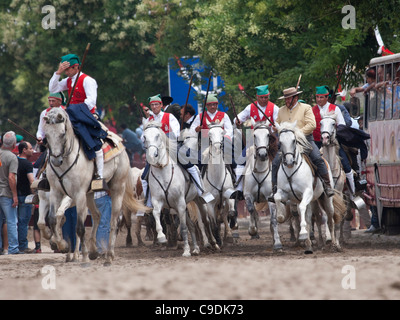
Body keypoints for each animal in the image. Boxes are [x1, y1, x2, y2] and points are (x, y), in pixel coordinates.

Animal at [39, 107, 149, 264]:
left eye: (62, 134)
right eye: (47, 135)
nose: (55, 161)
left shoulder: (78, 195)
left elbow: (79, 227)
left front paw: (81, 255)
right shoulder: (55, 192)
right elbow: (52, 219)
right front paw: (62, 245)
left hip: (117, 189)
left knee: (114, 221)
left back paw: (108, 255)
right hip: (89, 195)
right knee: (97, 216)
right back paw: (93, 251)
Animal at [142, 121, 211, 256]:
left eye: (158, 135)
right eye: (144, 137)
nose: (152, 156)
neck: (163, 171)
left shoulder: (180, 203)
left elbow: (184, 228)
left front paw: (186, 251)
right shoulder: (158, 201)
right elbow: (156, 214)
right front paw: (161, 237)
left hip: (197, 201)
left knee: (203, 221)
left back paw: (211, 243)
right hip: (182, 207)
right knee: (192, 225)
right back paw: (196, 248)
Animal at [242, 121, 282, 251]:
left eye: (268, 135)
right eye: (255, 135)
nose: (263, 154)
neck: (259, 172)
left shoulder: (270, 197)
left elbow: (273, 219)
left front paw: (277, 242)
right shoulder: (248, 195)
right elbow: (251, 210)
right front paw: (252, 230)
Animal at [274, 121, 346, 254]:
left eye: (294, 141)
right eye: (280, 142)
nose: (289, 161)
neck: (291, 171)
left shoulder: (306, 193)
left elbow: (302, 209)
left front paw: (303, 233)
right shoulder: (285, 193)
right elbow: (277, 197)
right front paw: (280, 216)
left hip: (326, 200)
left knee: (330, 220)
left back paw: (334, 244)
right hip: (312, 202)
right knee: (310, 217)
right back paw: (309, 245)